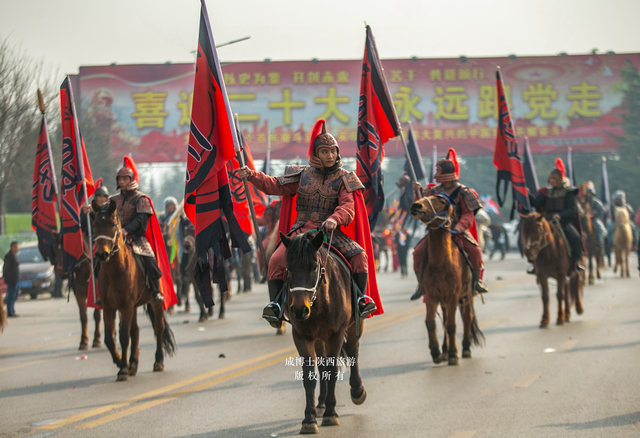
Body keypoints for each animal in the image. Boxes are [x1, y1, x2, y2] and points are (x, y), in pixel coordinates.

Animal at [90, 200, 175, 382]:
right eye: (94, 224)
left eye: (112, 224)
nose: (102, 254)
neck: (116, 270)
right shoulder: (109, 307)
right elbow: (109, 338)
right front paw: (120, 362)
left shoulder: (126, 306)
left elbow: (123, 336)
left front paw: (123, 369)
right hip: (133, 306)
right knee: (135, 330)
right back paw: (134, 364)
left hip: (154, 304)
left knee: (158, 328)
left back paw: (158, 362)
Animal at [280, 231, 364, 432]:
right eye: (289, 269)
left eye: (313, 267)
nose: (299, 310)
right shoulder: (301, 336)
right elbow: (310, 375)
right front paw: (309, 419)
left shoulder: (336, 334)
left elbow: (332, 371)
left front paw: (331, 414)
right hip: (319, 338)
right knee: (322, 363)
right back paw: (321, 403)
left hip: (353, 325)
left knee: (353, 351)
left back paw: (357, 390)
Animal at [410, 197, 484, 364]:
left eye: (441, 201)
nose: (416, 205)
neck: (440, 264)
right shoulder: (431, 296)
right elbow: (430, 323)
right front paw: (436, 352)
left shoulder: (453, 296)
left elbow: (451, 325)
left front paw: (453, 355)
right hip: (443, 300)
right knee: (444, 320)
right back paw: (444, 350)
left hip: (467, 296)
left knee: (466, 318)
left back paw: (465, 348)